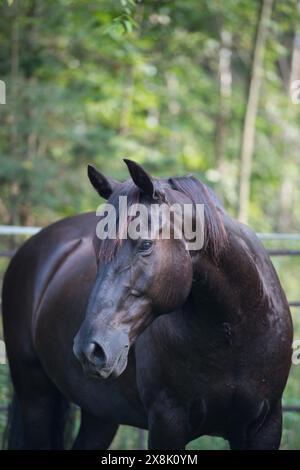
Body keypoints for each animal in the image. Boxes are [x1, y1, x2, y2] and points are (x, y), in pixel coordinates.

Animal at [2, 161, 292, 448]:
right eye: (96, 248)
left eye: (145, 244)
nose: (89, 349)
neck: (233, 332)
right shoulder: (167, 424)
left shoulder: (265, 427)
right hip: (36, 398)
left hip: (100, 415)